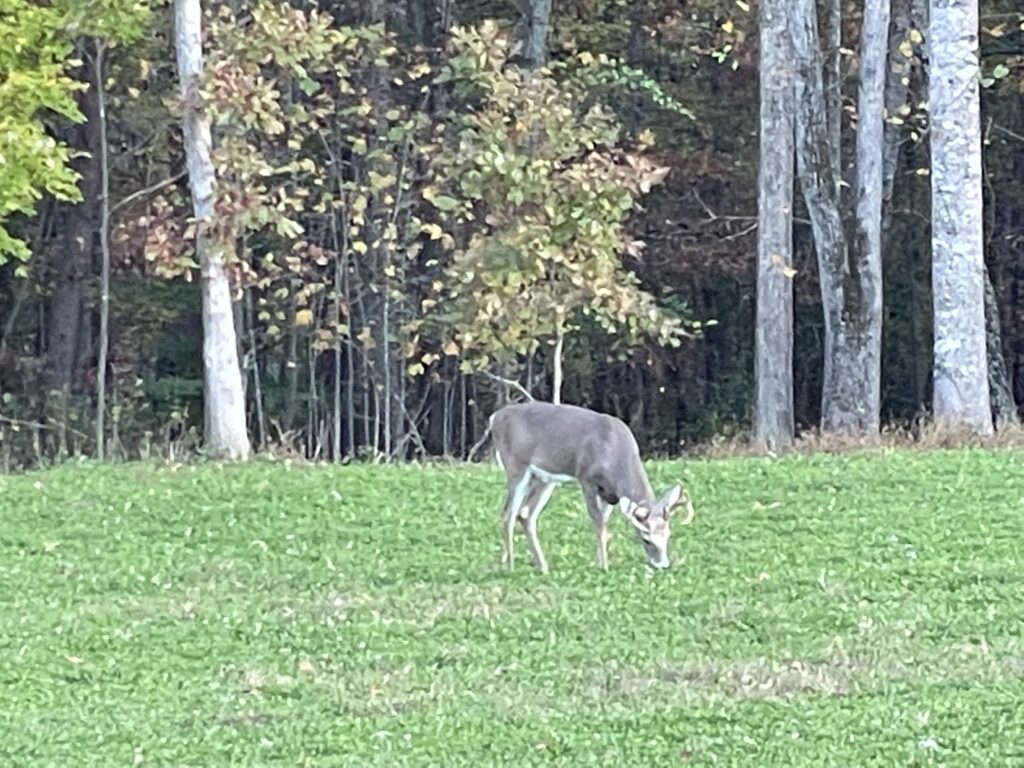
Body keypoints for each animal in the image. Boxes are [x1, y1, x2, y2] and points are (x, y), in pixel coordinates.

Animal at [489, 403, 696, 573]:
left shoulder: (609, 494)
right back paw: (511, 566)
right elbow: (598, 525)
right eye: (646, 538)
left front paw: (598, 562)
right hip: (517, 467)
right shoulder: (586, 478)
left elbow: (603, 523)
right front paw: (604, 566)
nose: (663, 564)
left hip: (544, 479)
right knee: (508, 513)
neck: (615, 455)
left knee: (525, 514)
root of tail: (495, 417)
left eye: (667, 534)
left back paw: (541, 566)